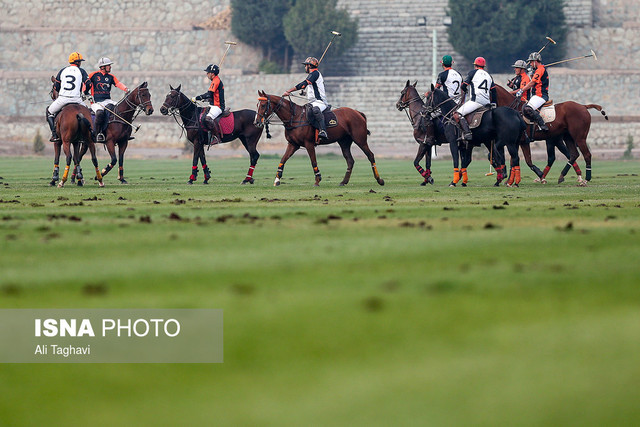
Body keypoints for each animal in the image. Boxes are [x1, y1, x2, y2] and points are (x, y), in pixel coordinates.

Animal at [254, 91, 384, 186]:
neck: (295, 117)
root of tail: (358, 113)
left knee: (370, 155)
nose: (256, 122)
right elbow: (282, 160)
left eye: (264, 105)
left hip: (360, 139)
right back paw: (343, 182)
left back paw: (379, 180)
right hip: (344, 142)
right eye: (257, 105)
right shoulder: (293, 144)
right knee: (350, 160)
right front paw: (277, 180)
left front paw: (317, 180)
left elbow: (313, 161)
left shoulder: (309, 144)